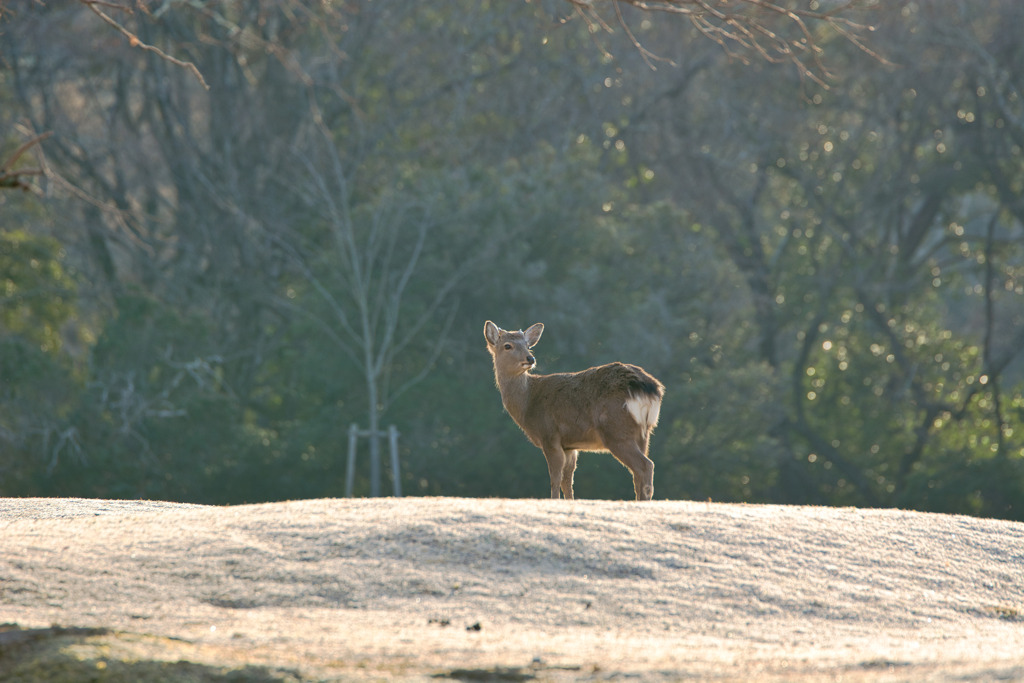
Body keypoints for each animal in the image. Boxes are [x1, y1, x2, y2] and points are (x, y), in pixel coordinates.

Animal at [481, 321, 663, 501]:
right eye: (507, 345)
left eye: (527, 345)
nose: (530, 358)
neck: (528, 404)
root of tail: (649, 388)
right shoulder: (570, 445)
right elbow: (567, 482)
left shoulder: (549, 435)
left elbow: (555, 478)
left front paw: (554, 500)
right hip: (644, 432)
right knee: (638, 473)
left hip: (616, 430)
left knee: (645, 465)